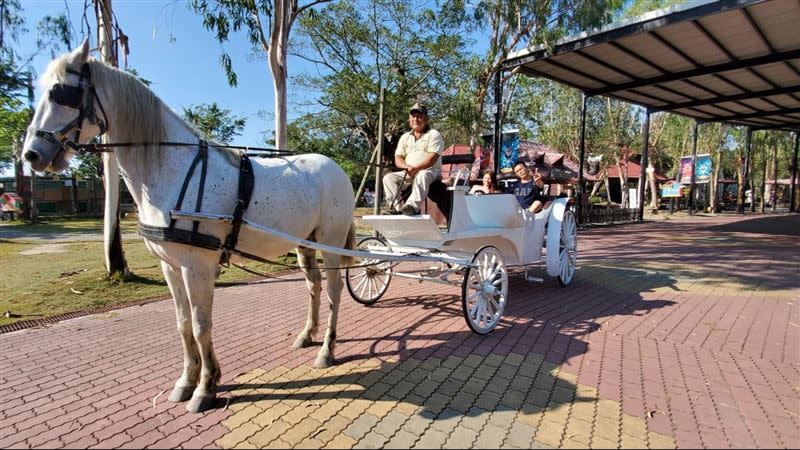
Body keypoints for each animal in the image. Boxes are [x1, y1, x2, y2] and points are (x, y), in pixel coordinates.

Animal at [25, 40, 356, 414]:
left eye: (61, 93)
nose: (31, 155)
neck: (174, 170)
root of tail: (337, 168)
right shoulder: (170, 266)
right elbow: (183, 324)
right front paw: (186, 381)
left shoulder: (197, 266)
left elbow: (201, 325)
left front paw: (206, 387)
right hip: (304, 243)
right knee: (314, 285)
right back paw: (307, 335)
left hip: (330, 242)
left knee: (333, 290)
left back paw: (327, 350)